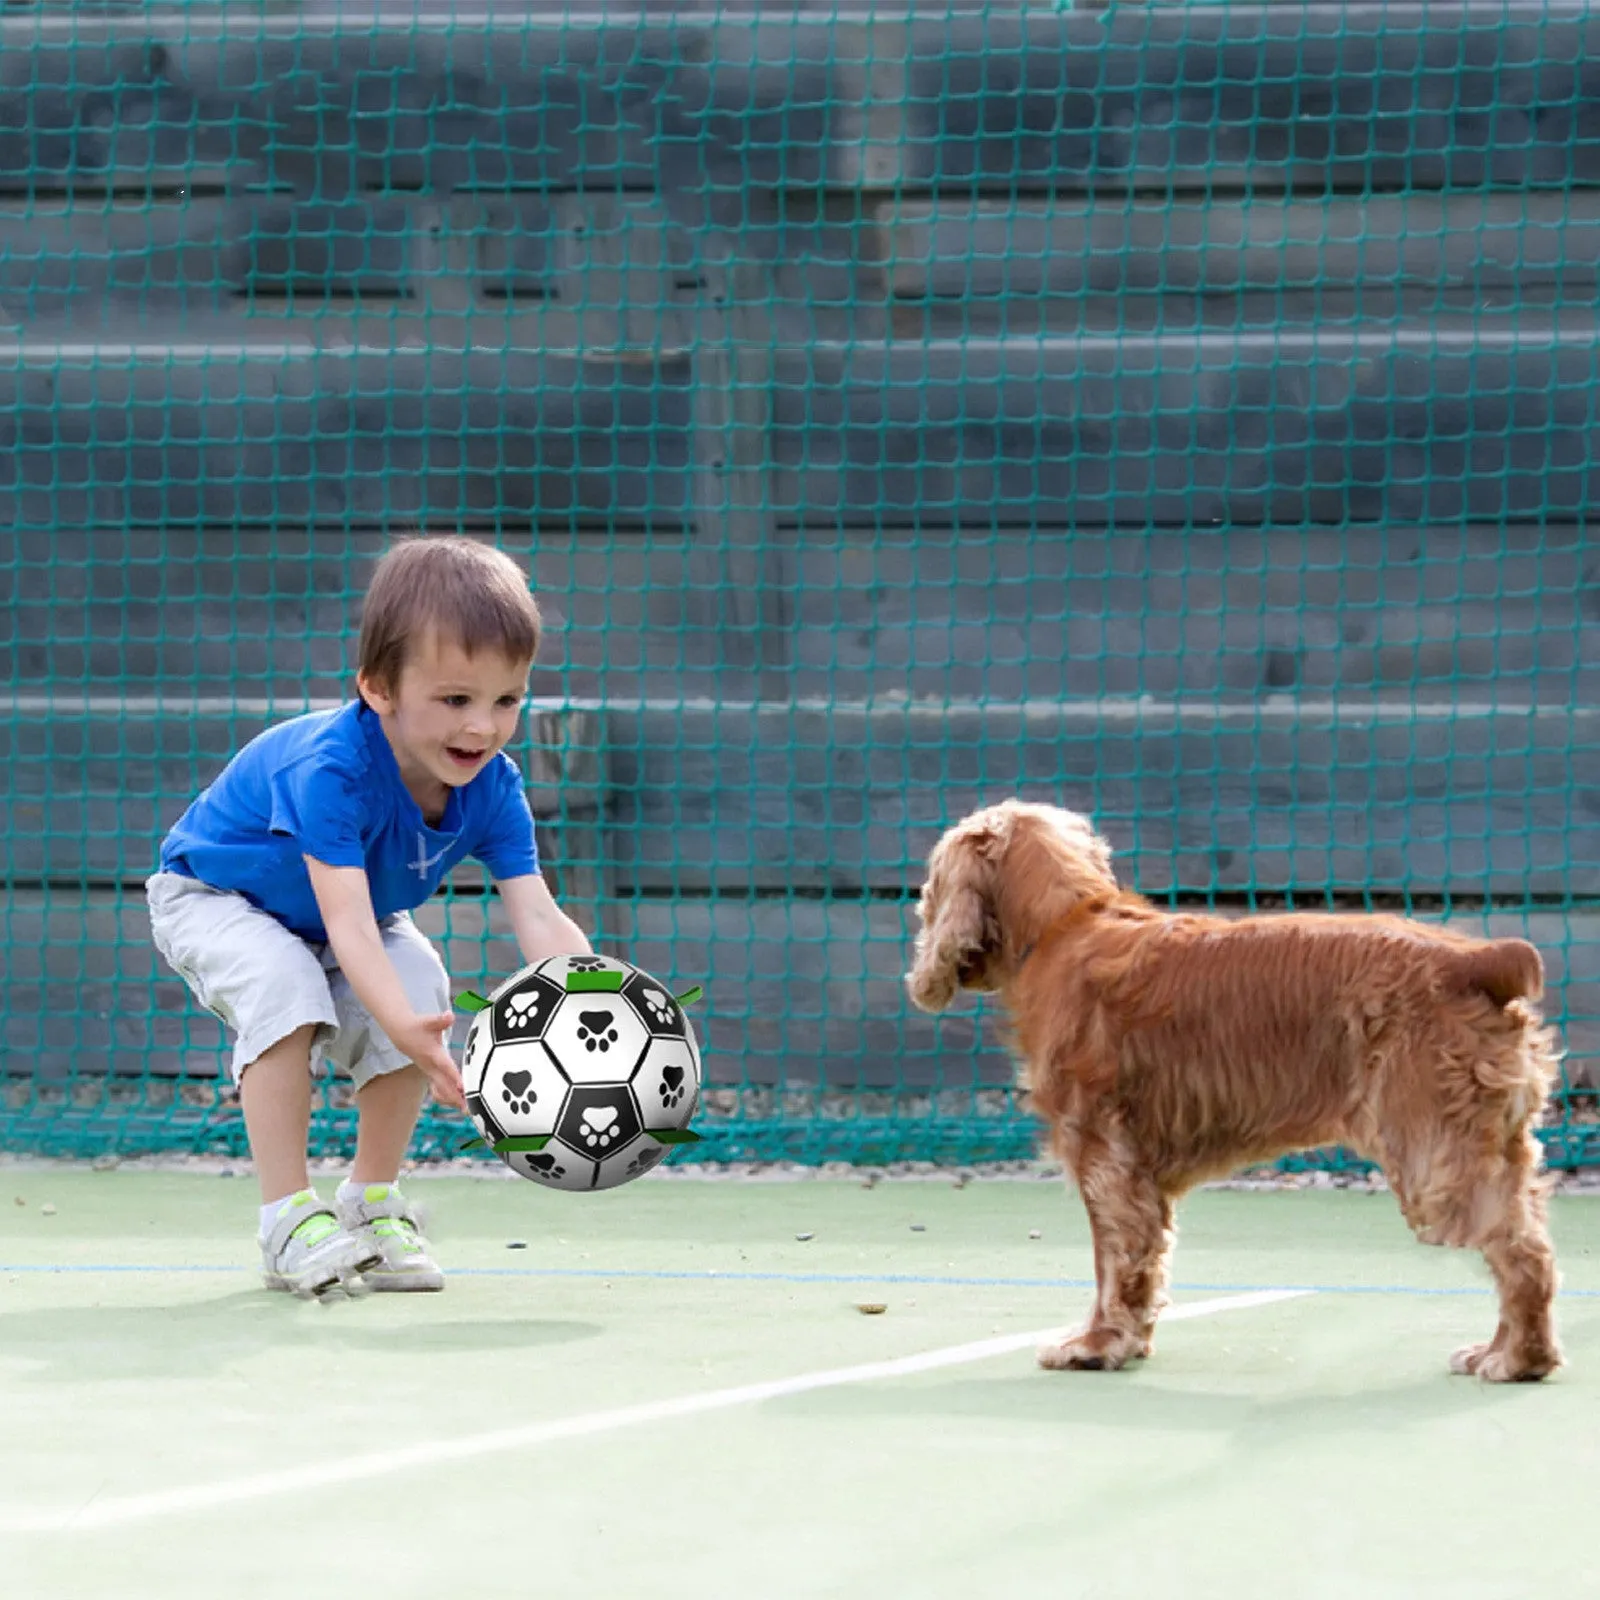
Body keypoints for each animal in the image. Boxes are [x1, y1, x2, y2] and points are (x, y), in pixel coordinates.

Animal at [915, 806, 1561, 1382]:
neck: (1066, 924)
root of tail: (1474, 961)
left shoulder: (1104, 1158)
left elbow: (1111, 1263)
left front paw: (1095, 1346)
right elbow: (1142, 1265)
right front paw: (1129, 1342)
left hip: (1434, 1153)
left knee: (1519, 1252)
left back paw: (1516, 1361)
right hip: (1493, 1142)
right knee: (1529, 1238)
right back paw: (1503, 1352)